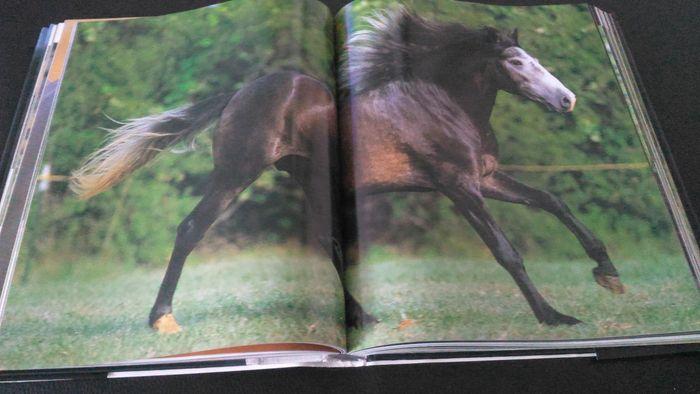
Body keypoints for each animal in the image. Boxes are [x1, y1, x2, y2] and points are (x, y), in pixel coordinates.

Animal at [72, 6, 624, 332]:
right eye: (514, 62)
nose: (568, 100)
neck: (444, 105)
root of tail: (238, 94)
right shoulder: (459, 186)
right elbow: (506, 252)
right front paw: (554, 316)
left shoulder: (486, 179)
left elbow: (553, 201)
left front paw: (608, 274)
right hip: (236, 174)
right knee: (190, 229)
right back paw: (162, 319)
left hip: (314, 184)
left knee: (327, 243)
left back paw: (364, 315)